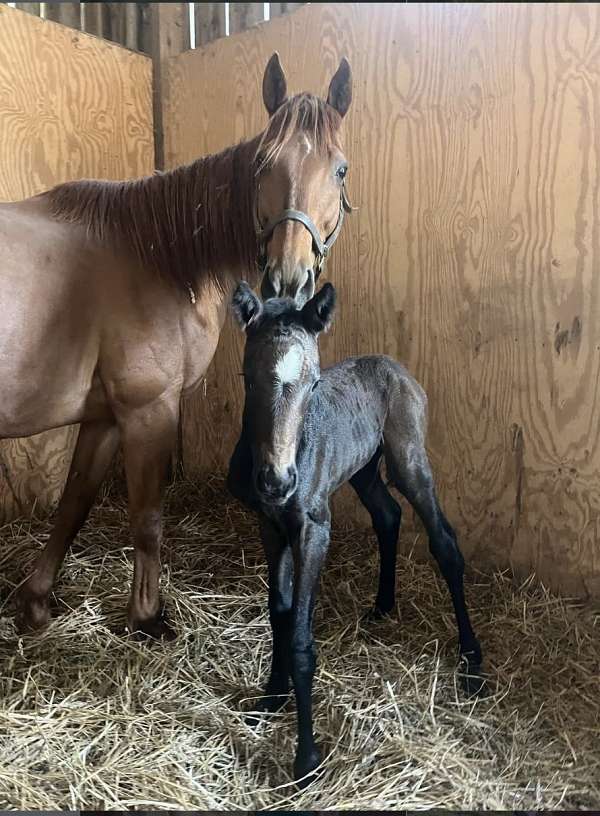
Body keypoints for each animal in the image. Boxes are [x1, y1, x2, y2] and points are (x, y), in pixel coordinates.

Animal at [0, 52, 353, 638]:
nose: (288, 279)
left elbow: (75, 502)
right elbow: (147, 519)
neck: (156, 255)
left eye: (339, 169)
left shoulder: (103, 416)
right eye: (263, 165)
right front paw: (147, 616)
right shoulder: (148, 409)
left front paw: (36, 601)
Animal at [227, 282, 483, 785]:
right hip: (364, 469)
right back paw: (383, 604)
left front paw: (306, 760)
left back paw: (471, 661)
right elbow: (279, 613)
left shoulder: (313, 530)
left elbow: (302, 638)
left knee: (444, 541)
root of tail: (393, 365)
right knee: (387, 515)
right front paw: (271, 697)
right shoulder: (271, 526)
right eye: (248, 377)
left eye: (313, 383)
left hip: (408, 459)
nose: (277, 481)